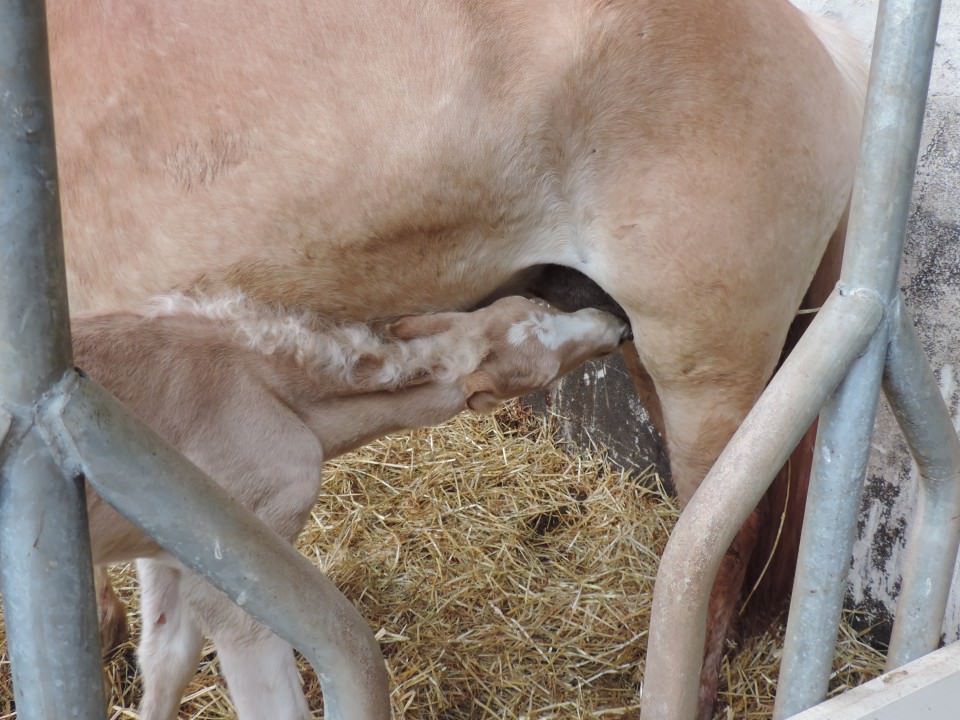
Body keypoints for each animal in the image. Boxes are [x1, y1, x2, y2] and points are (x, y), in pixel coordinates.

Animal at [77, 294, 632, 720]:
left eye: (543, 303)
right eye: (546, 369)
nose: (617, 323)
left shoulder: (163, 547)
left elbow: (165, 659)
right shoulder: (232, 566)